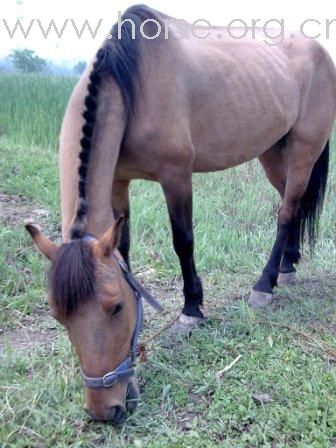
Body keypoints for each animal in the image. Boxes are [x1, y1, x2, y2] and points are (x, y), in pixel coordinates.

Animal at [24, 4, 336, 424]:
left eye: (115, 307)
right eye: (58, 315)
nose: (104, 410)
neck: (132, 84)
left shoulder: (175, 176)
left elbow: (183, 241)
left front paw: (192, 309)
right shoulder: (119, 182)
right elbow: (125, 250)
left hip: (304, 147)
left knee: (287, 212)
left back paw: (265, 284)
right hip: (273, 151)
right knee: (294, 204)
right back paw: (288, 265)